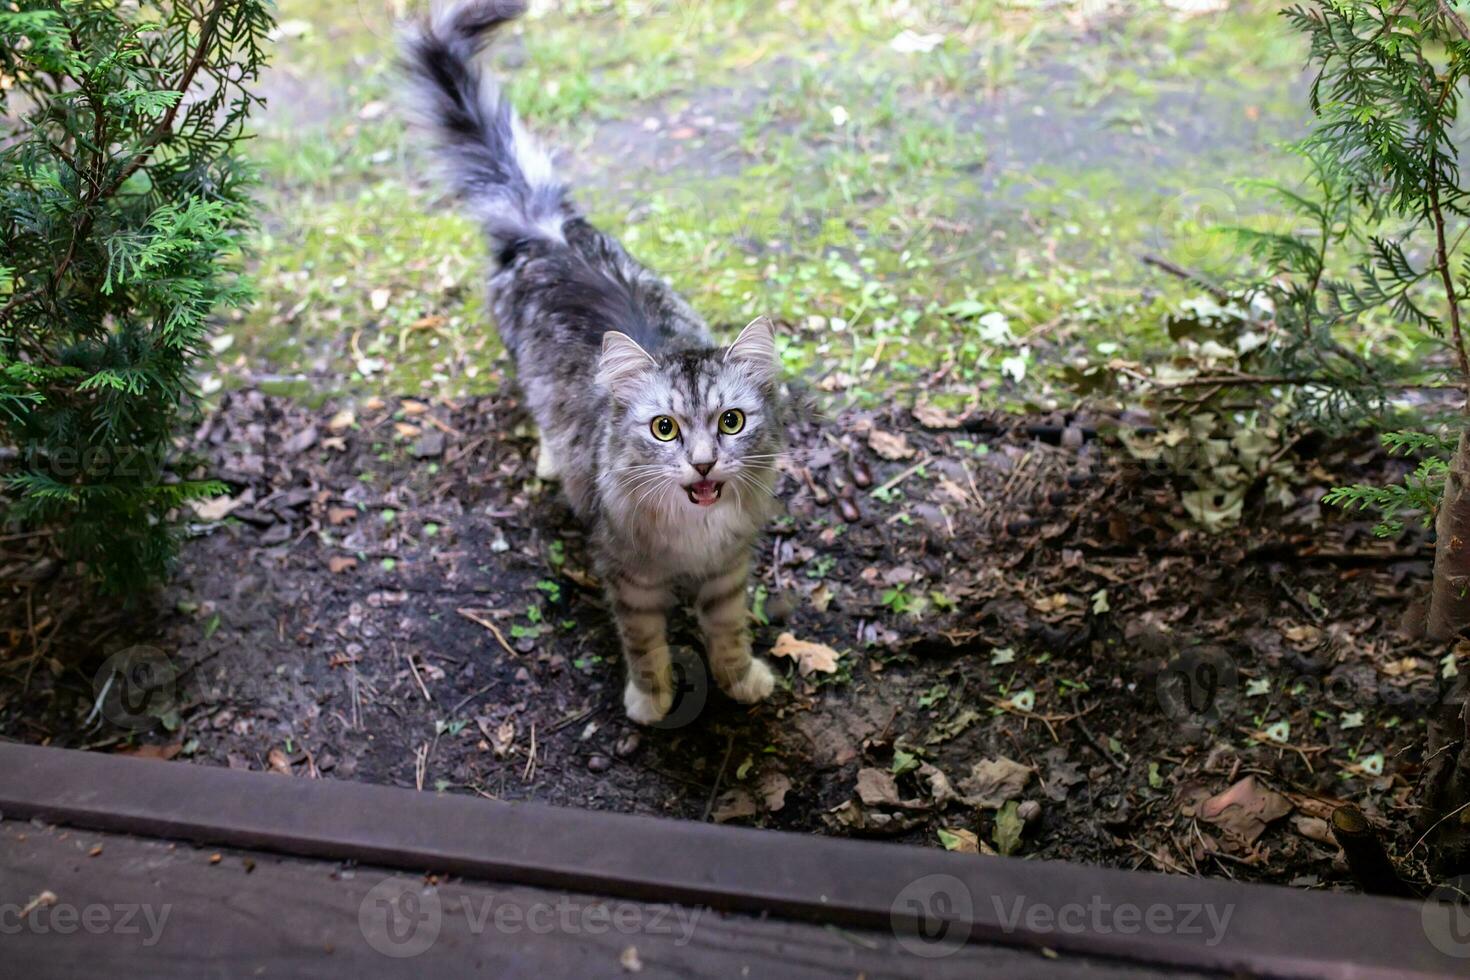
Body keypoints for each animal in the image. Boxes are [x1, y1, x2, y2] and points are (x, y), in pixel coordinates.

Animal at [402, 0, 787, 719]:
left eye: (731, 422)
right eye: (664, 429)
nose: (703, 463)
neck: (693, 533)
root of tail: (546, 229)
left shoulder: (727, 571)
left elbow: (729, 632)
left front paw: (741, 679)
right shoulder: (628, 578)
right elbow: (646, 645)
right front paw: (652, 701)